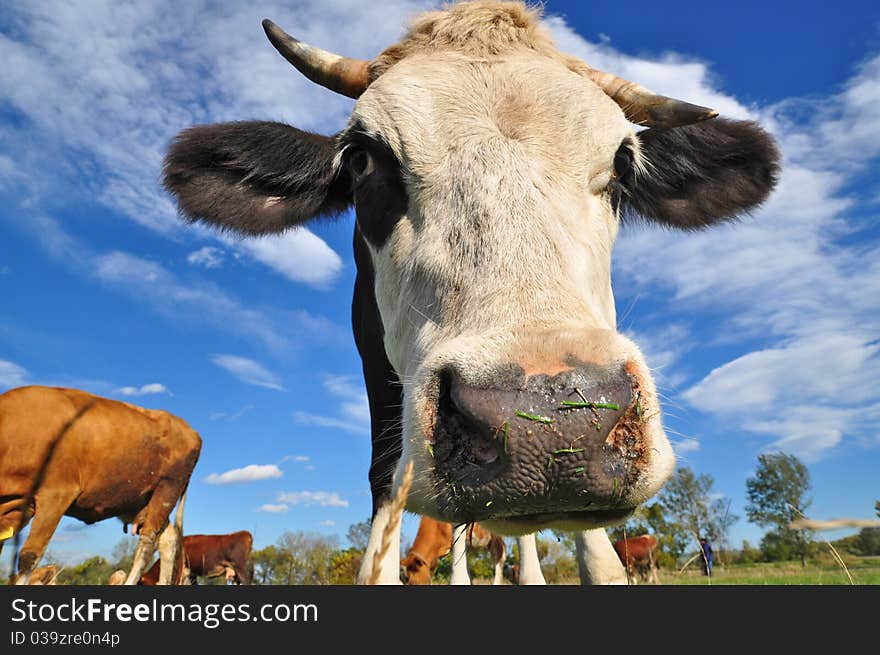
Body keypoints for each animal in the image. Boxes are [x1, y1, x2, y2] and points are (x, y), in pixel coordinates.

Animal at [0, 384, 201, 584]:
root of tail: (191, 431)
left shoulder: (56, 495)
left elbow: (28, 558)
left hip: (167, 491)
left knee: (147, 543)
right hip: (140, 502)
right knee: (168, 540)